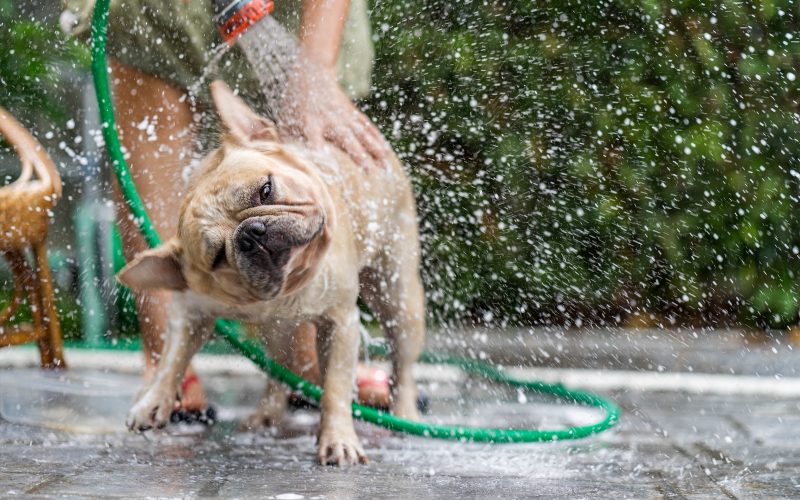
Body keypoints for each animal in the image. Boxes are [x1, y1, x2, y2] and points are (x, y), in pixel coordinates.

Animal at [117, 80, 424, 466]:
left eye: (266, 190)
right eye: (217, 257)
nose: (251, 234)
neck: (290, 284)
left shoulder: (340, 324)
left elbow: (335, 388)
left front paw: (338, 439)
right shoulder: (190, 310)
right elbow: (173, 357)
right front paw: (153, 401)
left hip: (399, 299)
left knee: (403, 363)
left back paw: (405, 415)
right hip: (278, 332)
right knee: (279, 368)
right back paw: (266, 414)